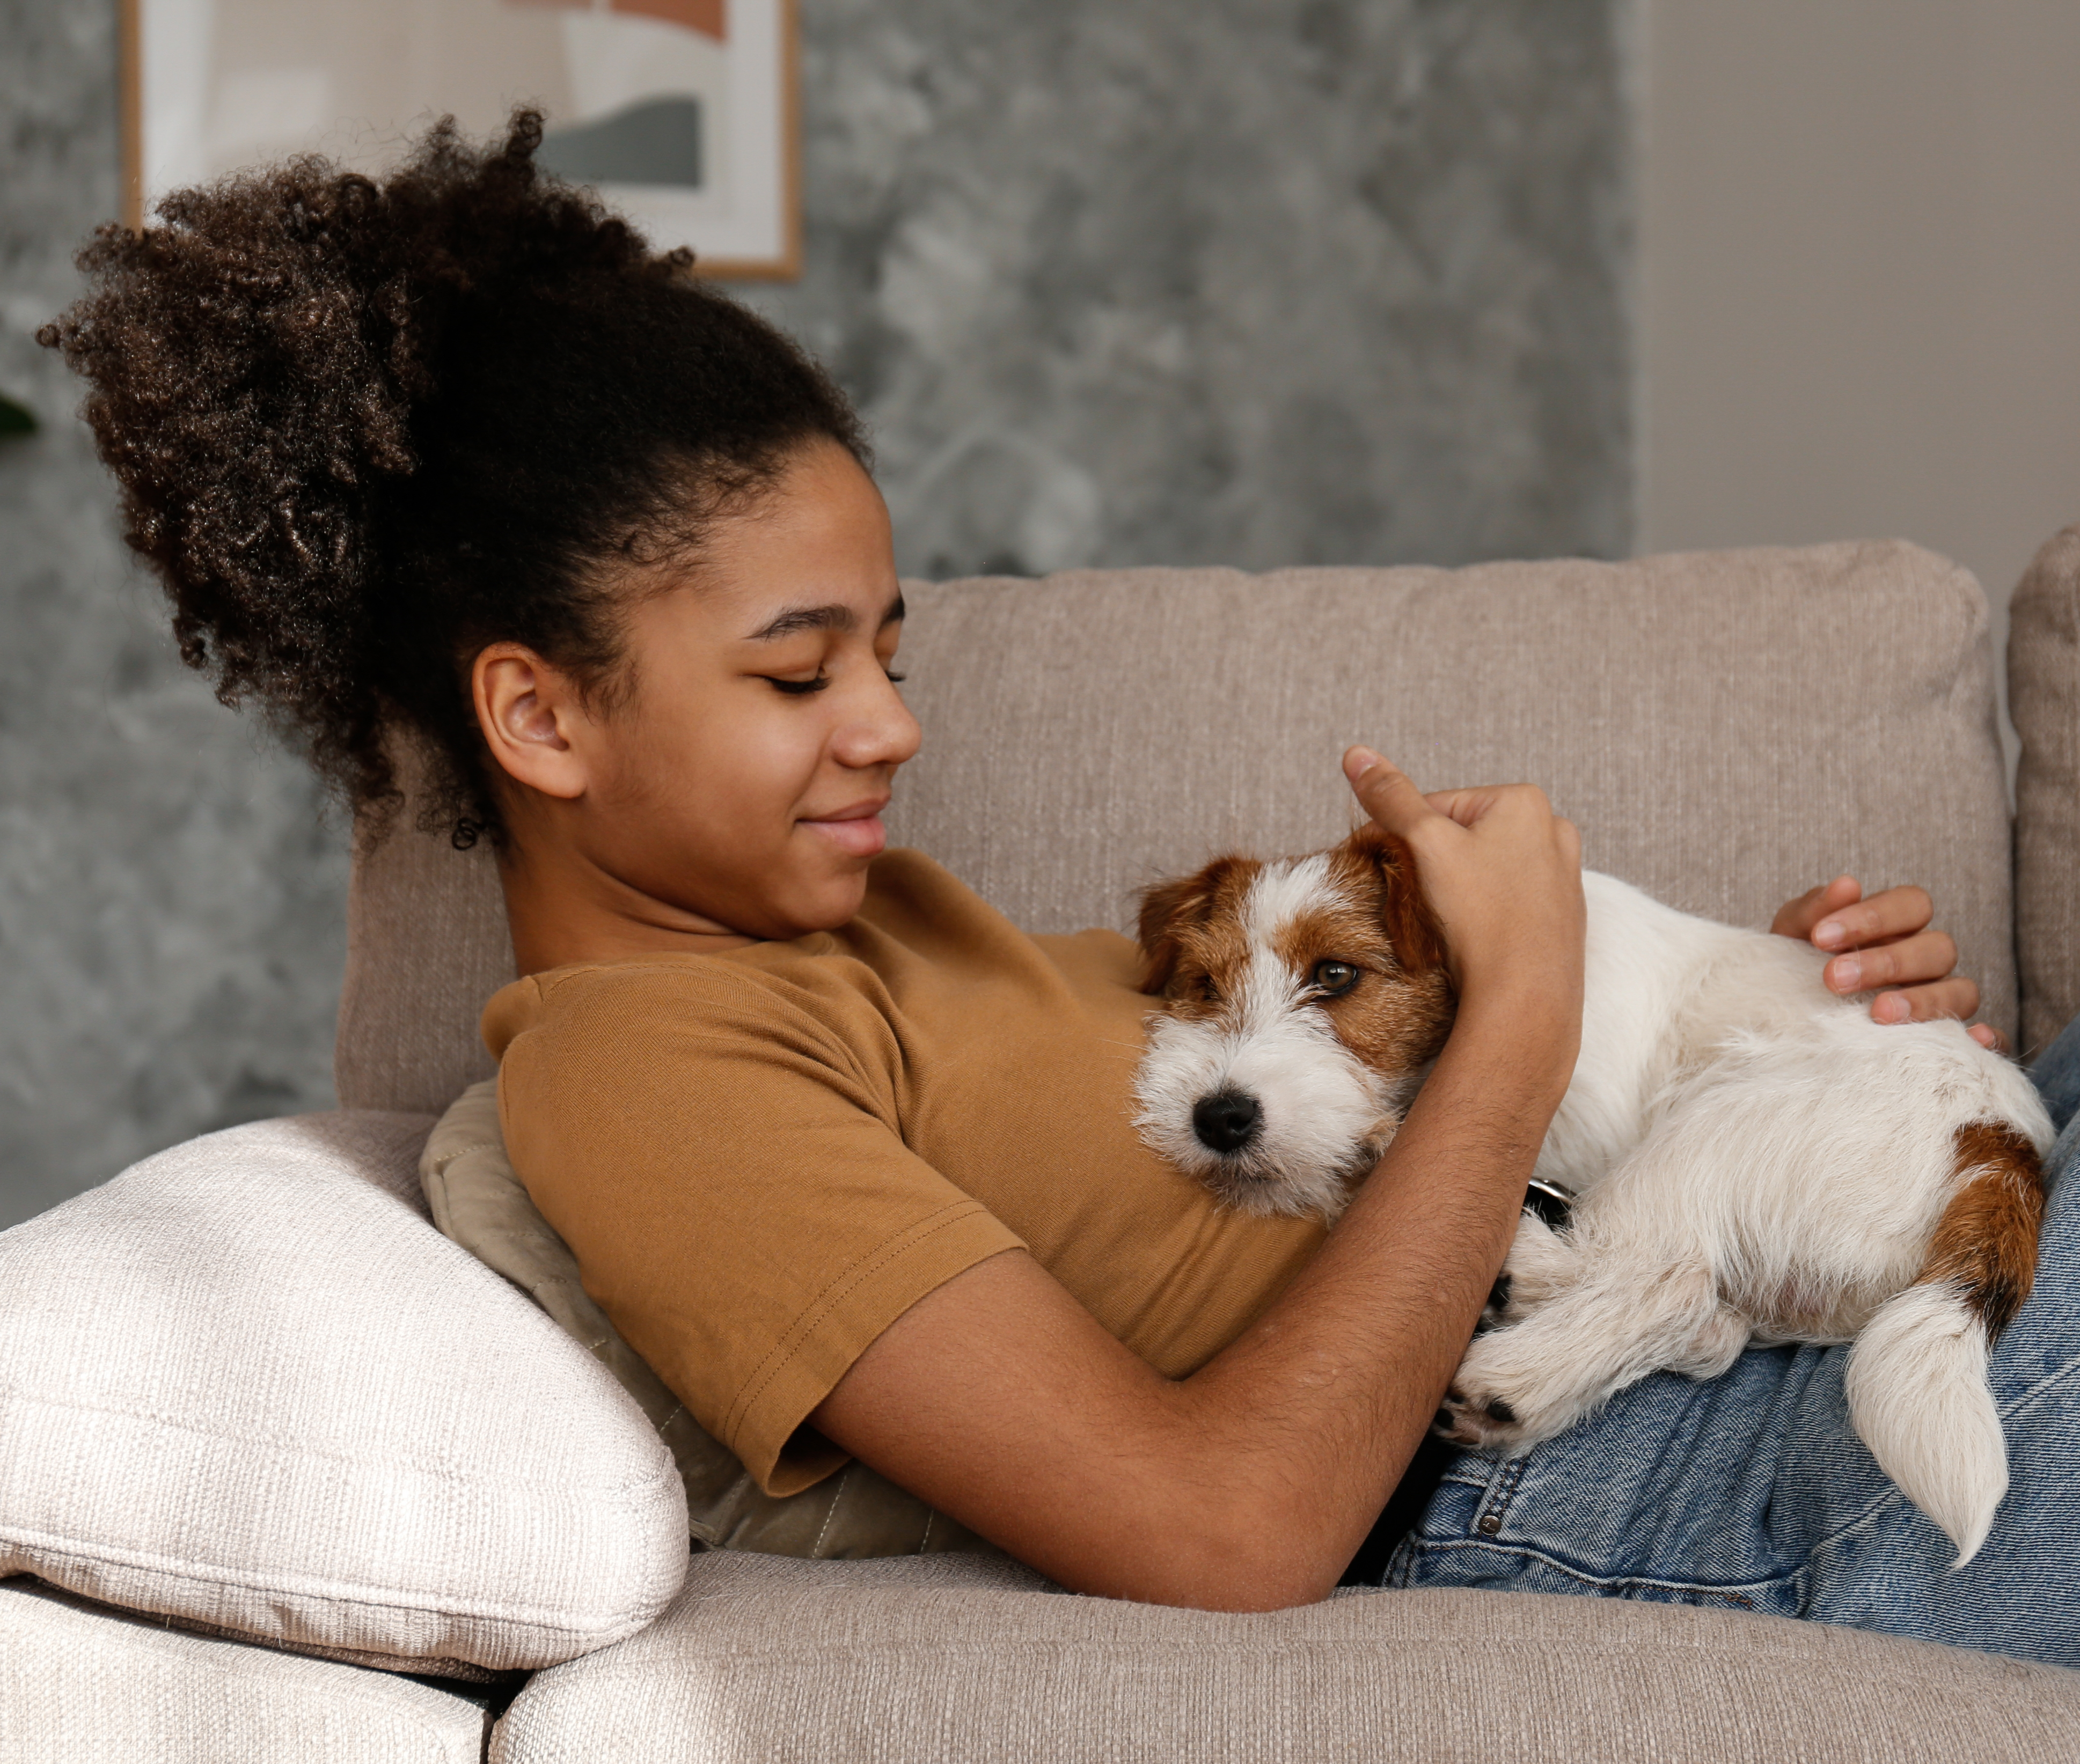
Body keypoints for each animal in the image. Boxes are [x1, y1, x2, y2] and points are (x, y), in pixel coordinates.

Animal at [1131, 819, 2055, 1564]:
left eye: (1335, 974)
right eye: (1204, 987)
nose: (1219, 1117)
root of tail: (2002, 1141)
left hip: (1717, 1118)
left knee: (1669, 1278)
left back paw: (1512, 1341)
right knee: (1711, 1324)